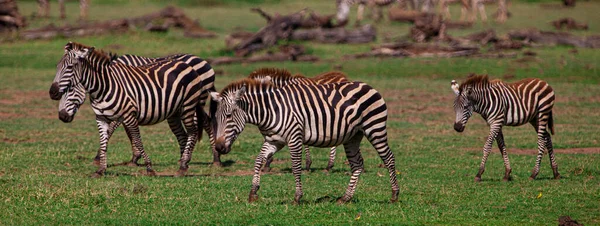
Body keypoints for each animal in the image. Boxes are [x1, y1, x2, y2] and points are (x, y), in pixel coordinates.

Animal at [53, 42, 204, 177]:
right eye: (57, 67)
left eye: (70, 67)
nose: (52, 92)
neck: (104, 87)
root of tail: (185, 64)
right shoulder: (101, 118)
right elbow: (104, 141)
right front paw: (101, 170)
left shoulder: (128, 115)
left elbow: (136, 139)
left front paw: (149, 168)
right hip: (174, 113)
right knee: (182, 135)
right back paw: (183, 165)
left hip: (188, 106)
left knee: (193, 132)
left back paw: (183, 165)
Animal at [209, 75, 400, 204]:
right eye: (216, 118)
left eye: (229, 115)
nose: (219, 148)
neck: (271, 110)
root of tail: (369, 86)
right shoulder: (274, 141)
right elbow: (258, 161)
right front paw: (253, 192)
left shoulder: (294, 137)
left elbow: (295, 167)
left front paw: (297, 197)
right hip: (353, 136)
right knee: (357, 164)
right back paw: (346, 198)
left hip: (375, 127)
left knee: (389, 158)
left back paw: (394, 194)